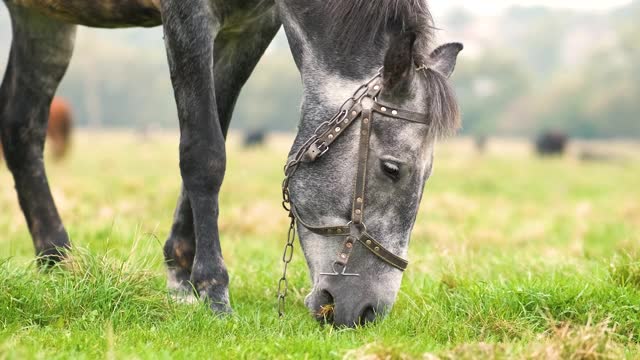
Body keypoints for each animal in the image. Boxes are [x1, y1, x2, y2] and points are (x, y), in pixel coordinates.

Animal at [0, 0, 460, 326]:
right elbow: (204, 153)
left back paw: (57, 261)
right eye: (392, 168)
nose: (367, 312)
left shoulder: (250, 28)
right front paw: (213, 288)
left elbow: (216, 128)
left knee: (22, 129)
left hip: (43, 20)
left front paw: (182, 276)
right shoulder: (187, 17)